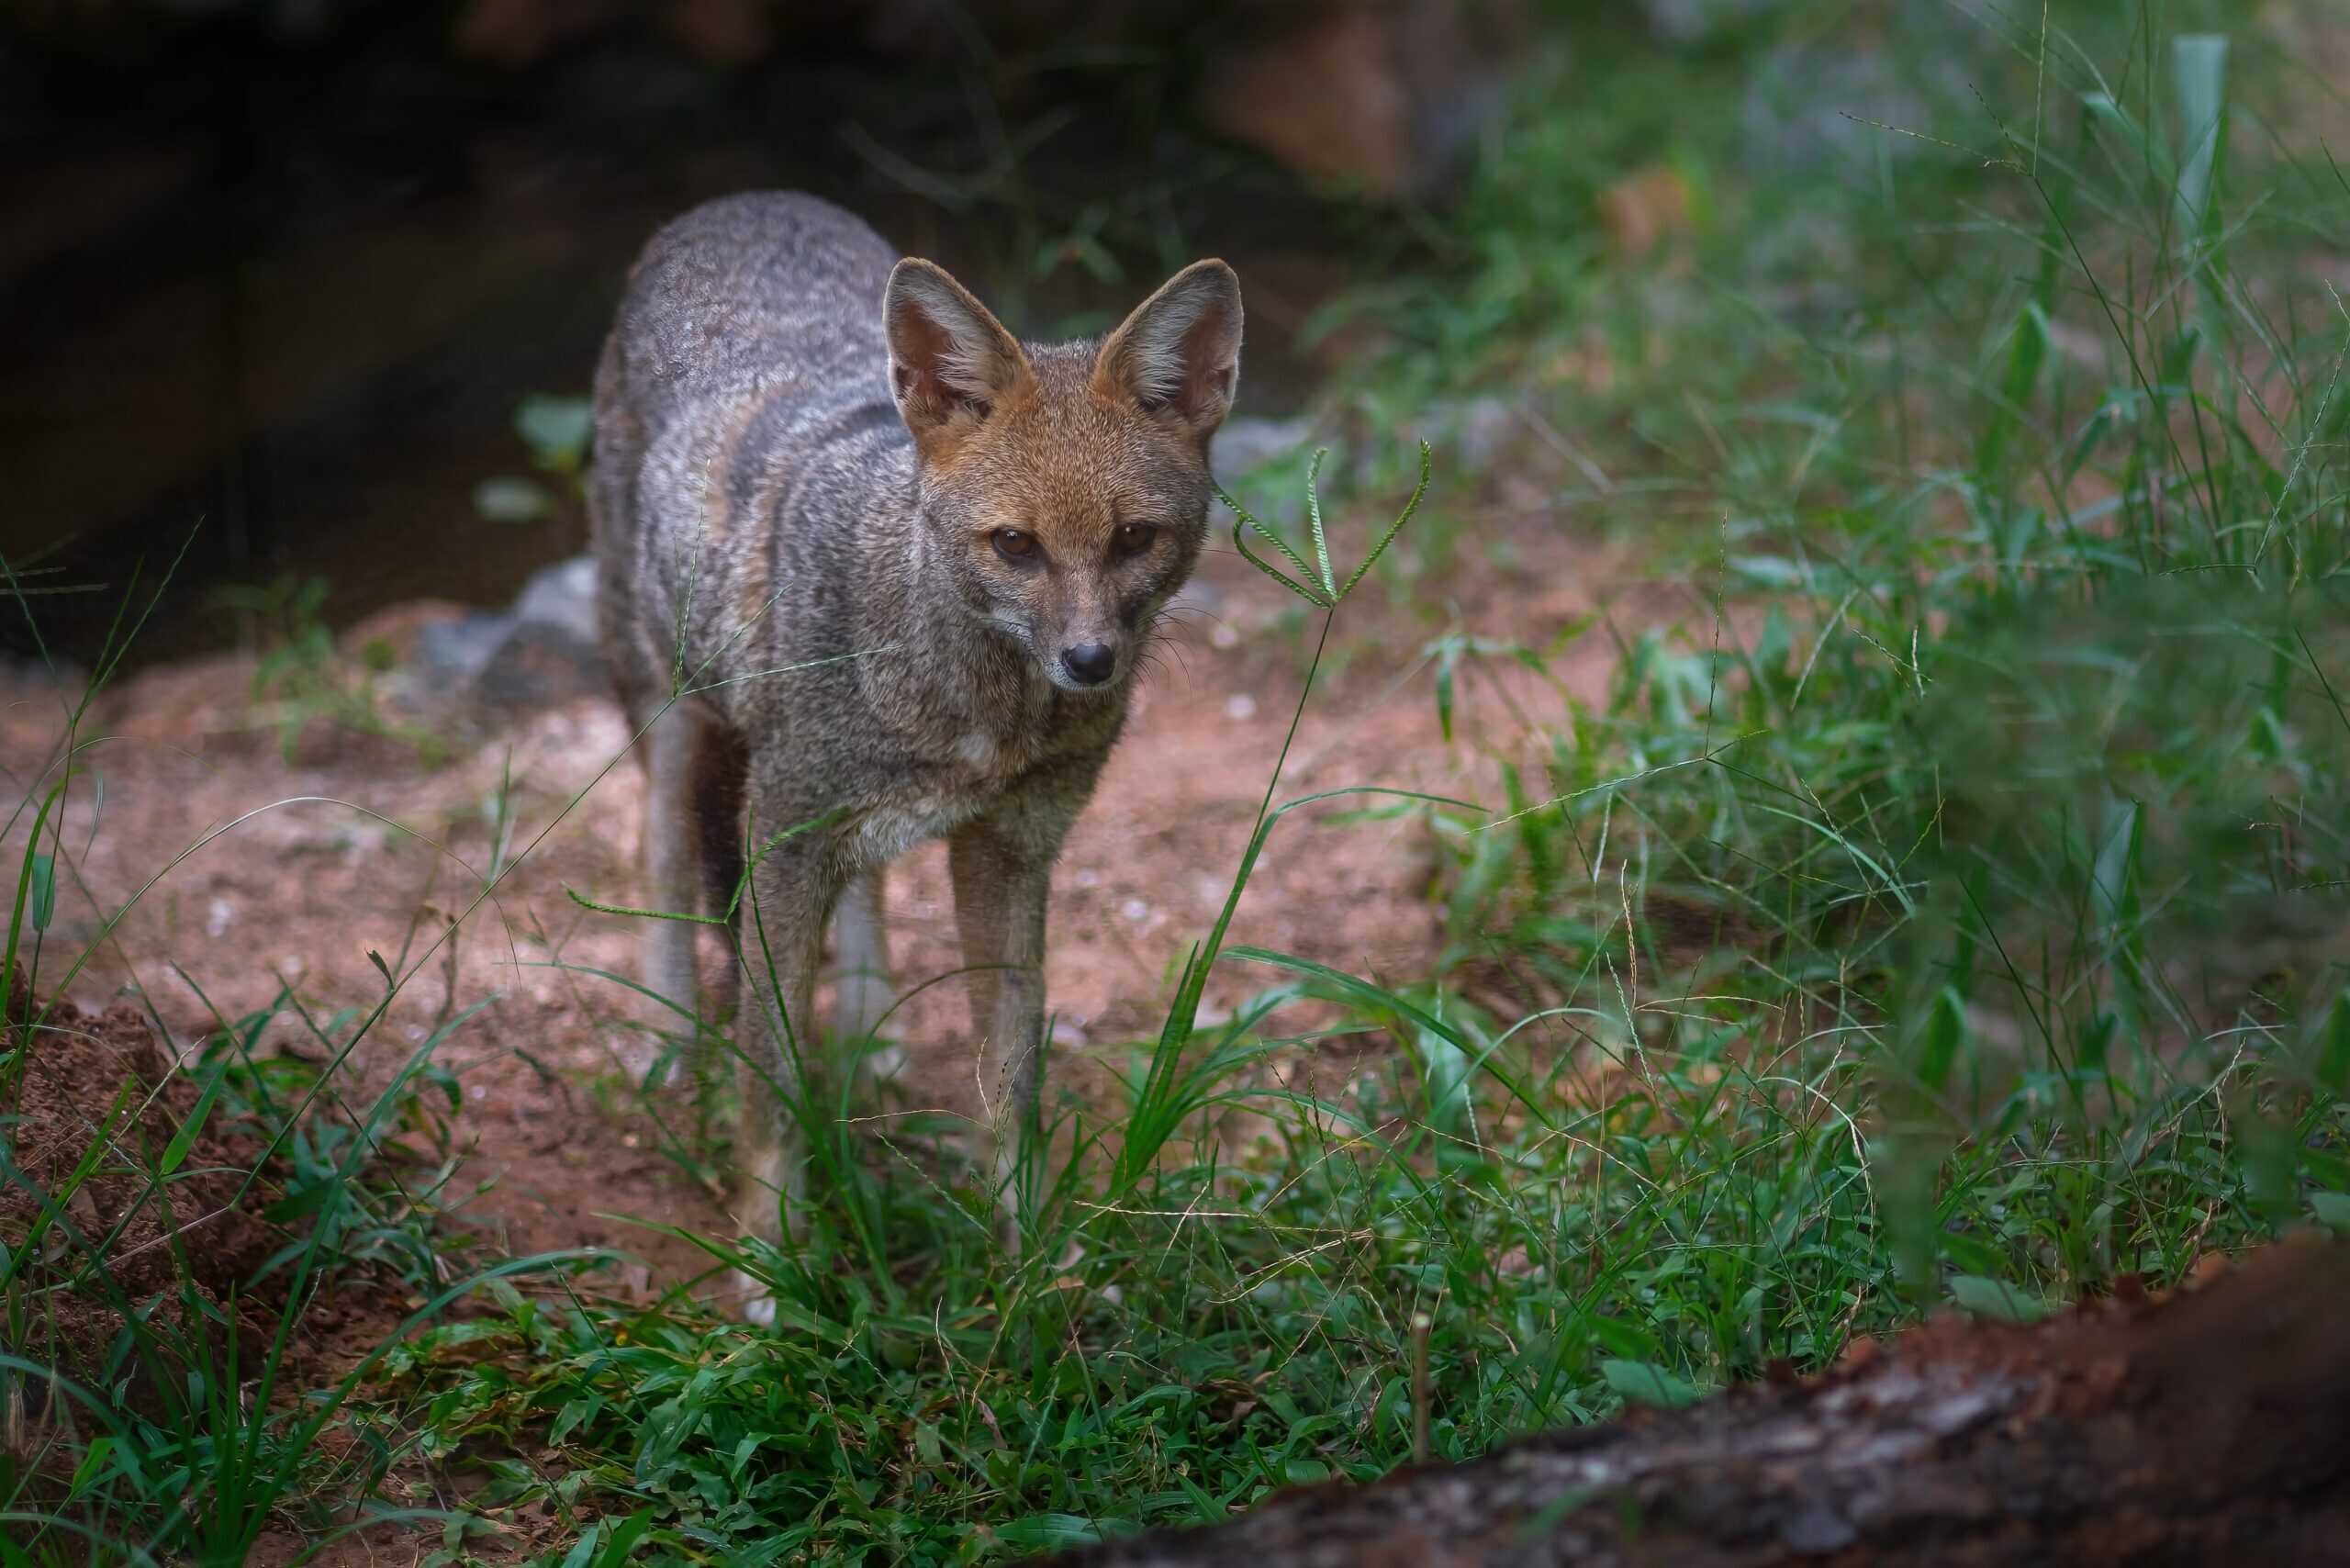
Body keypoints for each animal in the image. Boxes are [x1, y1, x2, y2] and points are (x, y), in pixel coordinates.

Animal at [592, 190, 1249, 1306]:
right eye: (1015, 546)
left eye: (1134, 538)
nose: (1089, 661)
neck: (974, 718)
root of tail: (742, 201)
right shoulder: (783, 835)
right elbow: (772, 1078)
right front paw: (771, 1265)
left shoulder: (1011, 850)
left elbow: (1008, 1082)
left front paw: (1028, 1255)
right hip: (674, 718)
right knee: (662, 859)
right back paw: (668, 1042)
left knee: (863, 893)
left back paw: (873, 1027)